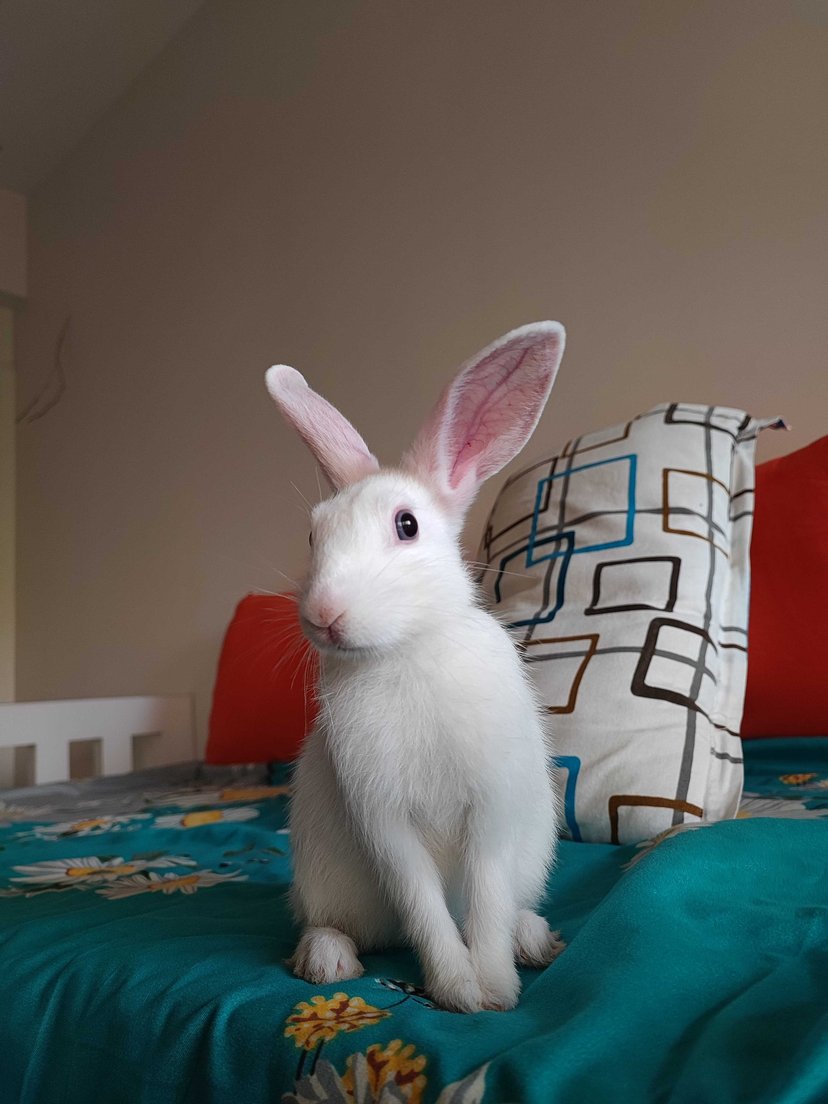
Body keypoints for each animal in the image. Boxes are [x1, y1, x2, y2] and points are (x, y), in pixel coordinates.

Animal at [264, 321, 566, 1013]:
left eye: (407, 525)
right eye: (314, 535)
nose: (323, 613)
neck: (406, 649)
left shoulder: (490, 810)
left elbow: (485, 901)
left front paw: (495, 991)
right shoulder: (385, 823)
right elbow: (424, 907)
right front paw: (458, 991)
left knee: (510, 907)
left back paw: (534, 940)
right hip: (326, 879)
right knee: (337, 924)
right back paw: (326, 961)